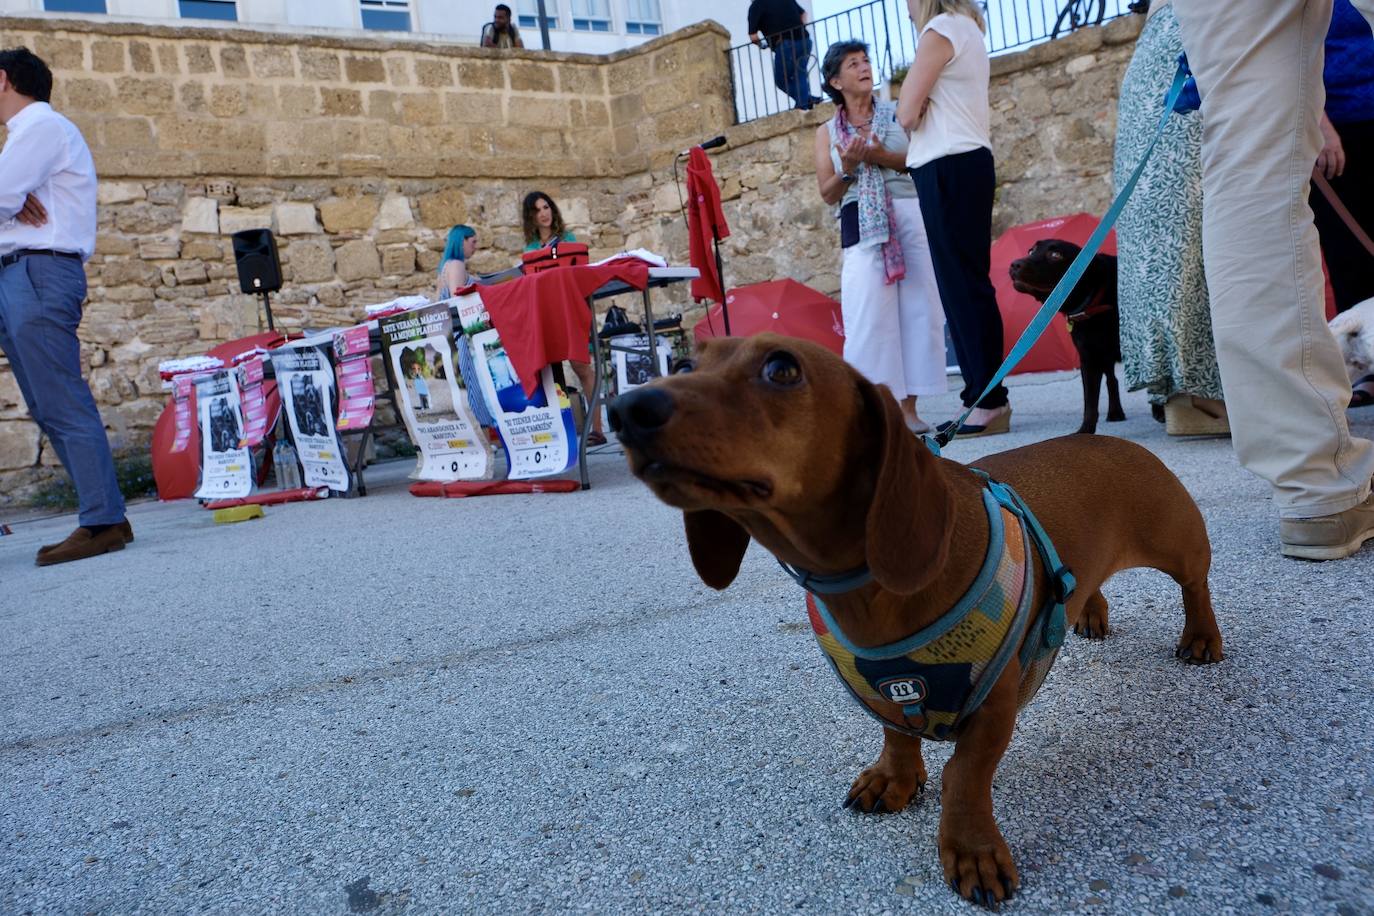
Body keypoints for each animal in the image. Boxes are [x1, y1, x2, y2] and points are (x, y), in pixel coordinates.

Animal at [612, 335, 1225, 911]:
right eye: (684, 363)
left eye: (781, 368)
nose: (626, 409)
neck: (866, 590)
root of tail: (1106, 438)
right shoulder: (879, 686)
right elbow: (896, 732)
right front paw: (894, 777)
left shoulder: (995, 706)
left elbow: (965, 776)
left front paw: (972, 849)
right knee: (1090, 580)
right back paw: (1090, 611)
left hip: (1178, 541)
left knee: (1195, 584)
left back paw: (1200, 637)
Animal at [1011, 240, 1126, 433]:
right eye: (1031, 250)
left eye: (1056, 255)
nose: (1014, 264)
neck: (1094, 302)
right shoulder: (1089, 358)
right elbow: (1090, 401)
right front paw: (1085, 431)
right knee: (1112, 379)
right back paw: (1115, 411)